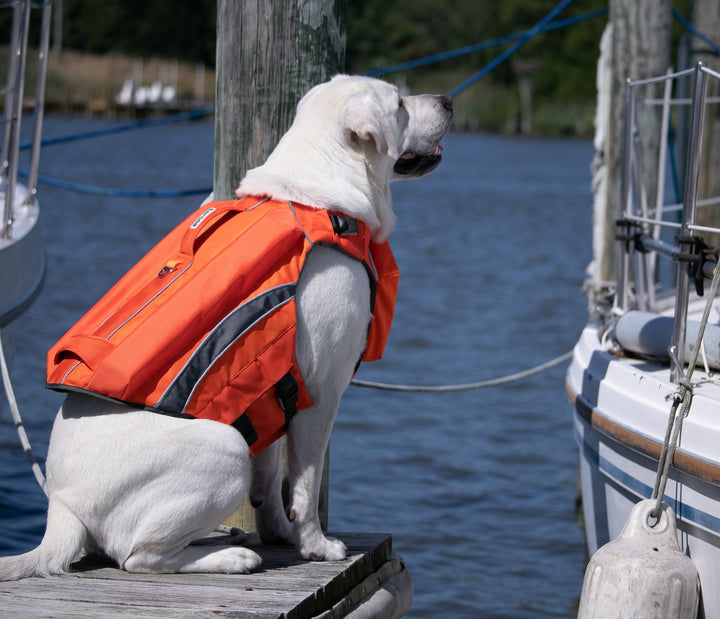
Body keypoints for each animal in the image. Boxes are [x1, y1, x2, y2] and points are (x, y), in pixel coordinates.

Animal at [1, 75, 450, 580]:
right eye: (399, 104)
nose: (448, 100)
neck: (320, 195)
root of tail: (61, 507)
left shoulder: (274, 391)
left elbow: (270, 480)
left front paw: (279, 533)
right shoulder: (321, 392)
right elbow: (305, 483)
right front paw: (316, 546)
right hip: (226, 447)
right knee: (139, 557)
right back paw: (232, 557)